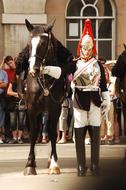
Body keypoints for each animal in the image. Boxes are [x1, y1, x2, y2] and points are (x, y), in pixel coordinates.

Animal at [16, 19, 76, 175]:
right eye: (29, 44)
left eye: (43, 43)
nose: (33, 70)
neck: (44, 80)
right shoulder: (31, 108)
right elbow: (33, 133)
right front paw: (30, 164)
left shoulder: (55, 109)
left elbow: (53, 133)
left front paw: (54, 163)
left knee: (49, 129)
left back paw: (50, 159)